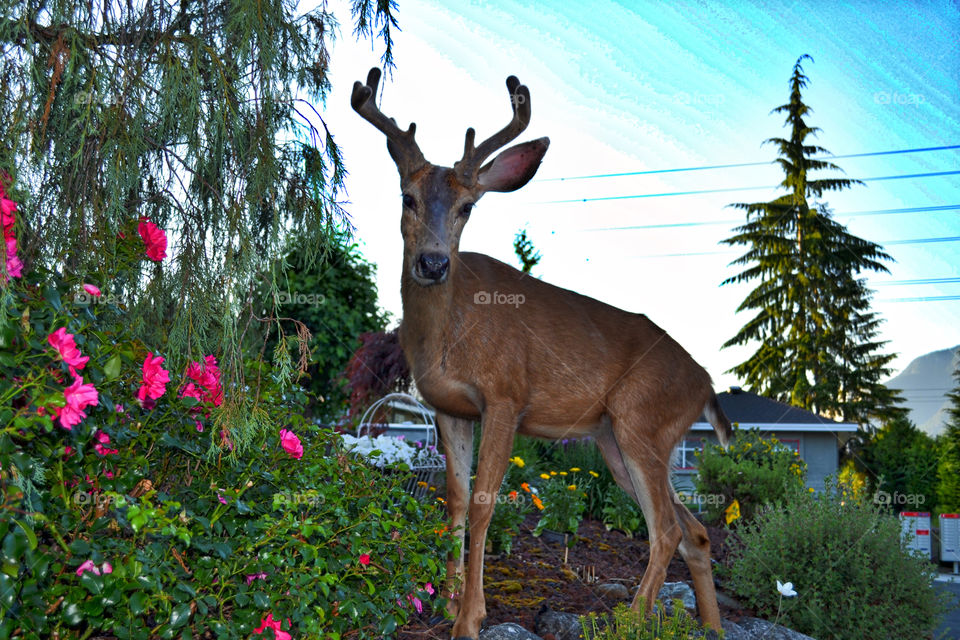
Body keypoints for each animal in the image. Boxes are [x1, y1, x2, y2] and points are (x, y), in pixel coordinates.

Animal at [348, 67, 732, 636]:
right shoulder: (448, 407)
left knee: (665, 527)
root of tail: (706, 381)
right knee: (695, 531)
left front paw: (470, 616)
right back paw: (709, 626)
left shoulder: (506, 396)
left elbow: (483, 505)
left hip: (641, 420)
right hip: (617, 440)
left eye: (468, 207)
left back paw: (631, 619)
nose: (433, 263)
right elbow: (454, 502)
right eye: (407, 198)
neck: (446, 333)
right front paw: (443, 602)